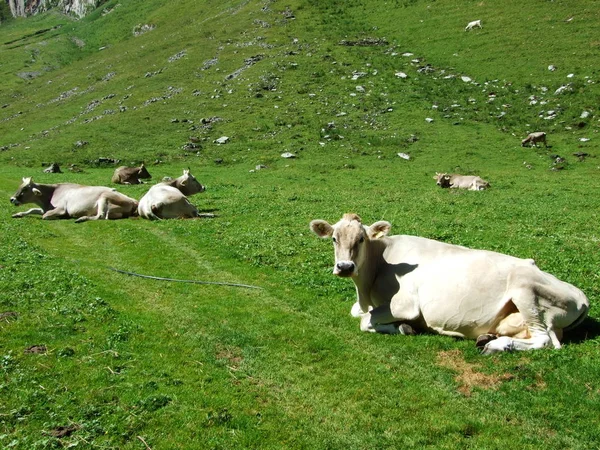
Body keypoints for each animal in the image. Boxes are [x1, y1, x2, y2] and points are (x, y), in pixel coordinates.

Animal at [10, 178, 138, 223]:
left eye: (25, 188)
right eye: (20, 185)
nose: (11, 199)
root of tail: (132, 200)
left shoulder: (61, 208)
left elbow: (45, 216)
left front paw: (61, 217)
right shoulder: (44, 208)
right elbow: (31, 209)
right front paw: (17, 214)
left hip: (104, 197)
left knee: (101, 216)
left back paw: (81, 218)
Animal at [312, 213, 588, 354]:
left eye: (361, 239)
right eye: (334, 238)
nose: (345, 267)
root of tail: (582, 297)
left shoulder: (405, 305)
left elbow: (365, 321)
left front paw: (405, 327)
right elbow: (357, 313)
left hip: (526, 291)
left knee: (545, 341)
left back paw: (495, 346)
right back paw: (487, 338)